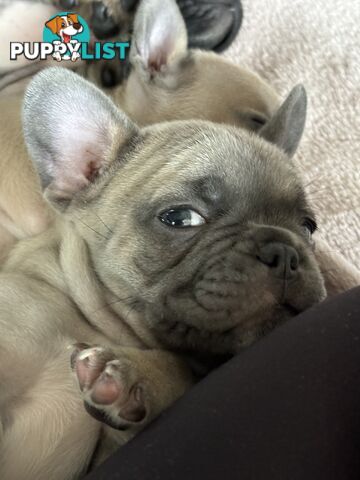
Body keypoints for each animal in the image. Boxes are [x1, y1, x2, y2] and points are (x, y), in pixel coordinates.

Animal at [0, 64, 326, 480]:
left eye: (308, 227)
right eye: (181, 218)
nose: (284, 252)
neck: (86, 323)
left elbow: (177, 369)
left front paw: (139, 376)